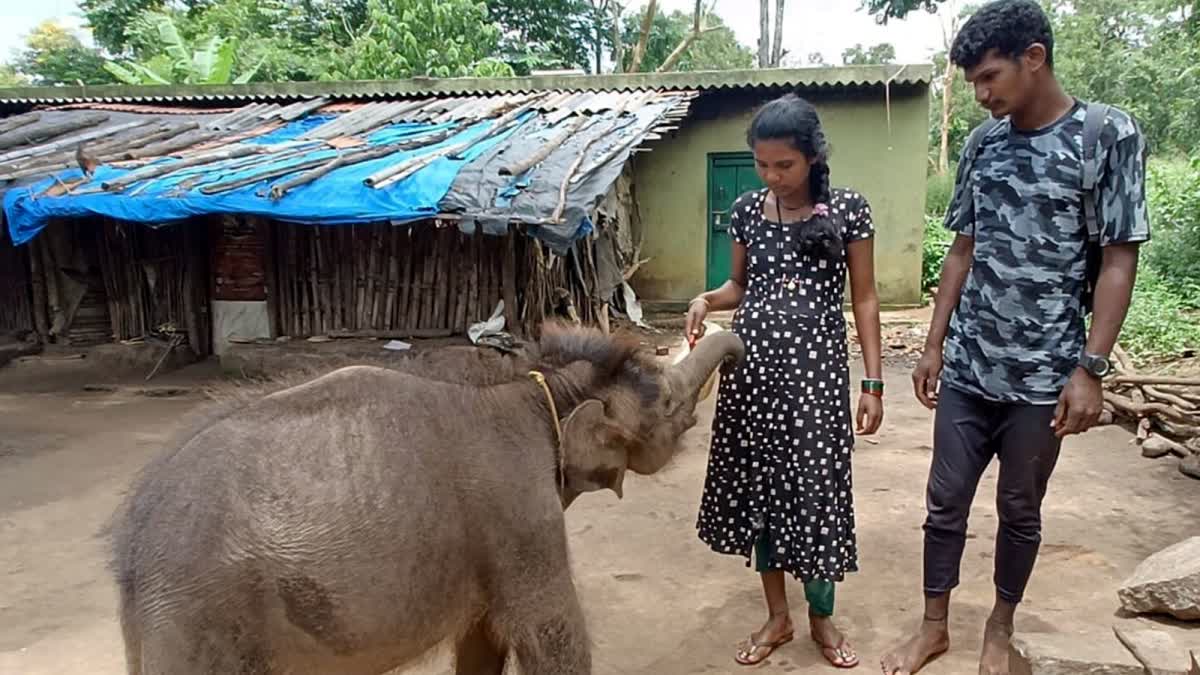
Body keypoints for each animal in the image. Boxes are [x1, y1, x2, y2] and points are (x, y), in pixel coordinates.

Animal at [108, 324, 739, 667]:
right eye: (667, 406)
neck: (528, 386)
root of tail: (130, 538)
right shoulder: (522, 515)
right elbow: (550, 634)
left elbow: (482, 640)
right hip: (198, 618)